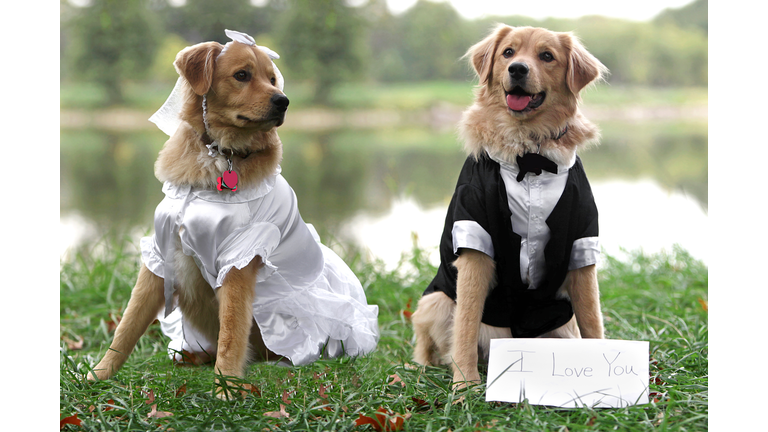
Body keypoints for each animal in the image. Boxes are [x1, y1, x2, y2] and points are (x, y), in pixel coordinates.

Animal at [85, 30, 380, 398]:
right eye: (242, 75)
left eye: (272, 79)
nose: (283, 101)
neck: (218, 155)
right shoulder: (158, 254)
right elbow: (127, 325)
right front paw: (100, 373)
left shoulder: (240, 258)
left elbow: (232, 331)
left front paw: (225, 386)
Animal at [412, 24, 608, 388]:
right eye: (508, 53)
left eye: (546, 56)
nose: (517, 69)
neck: (529, 156)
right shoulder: (475, 242)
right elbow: (466, 325)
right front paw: (464, 383)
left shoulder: (582, 245)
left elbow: (592, 318)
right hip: (435, 301)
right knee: (429, 346)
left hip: (561, 326)